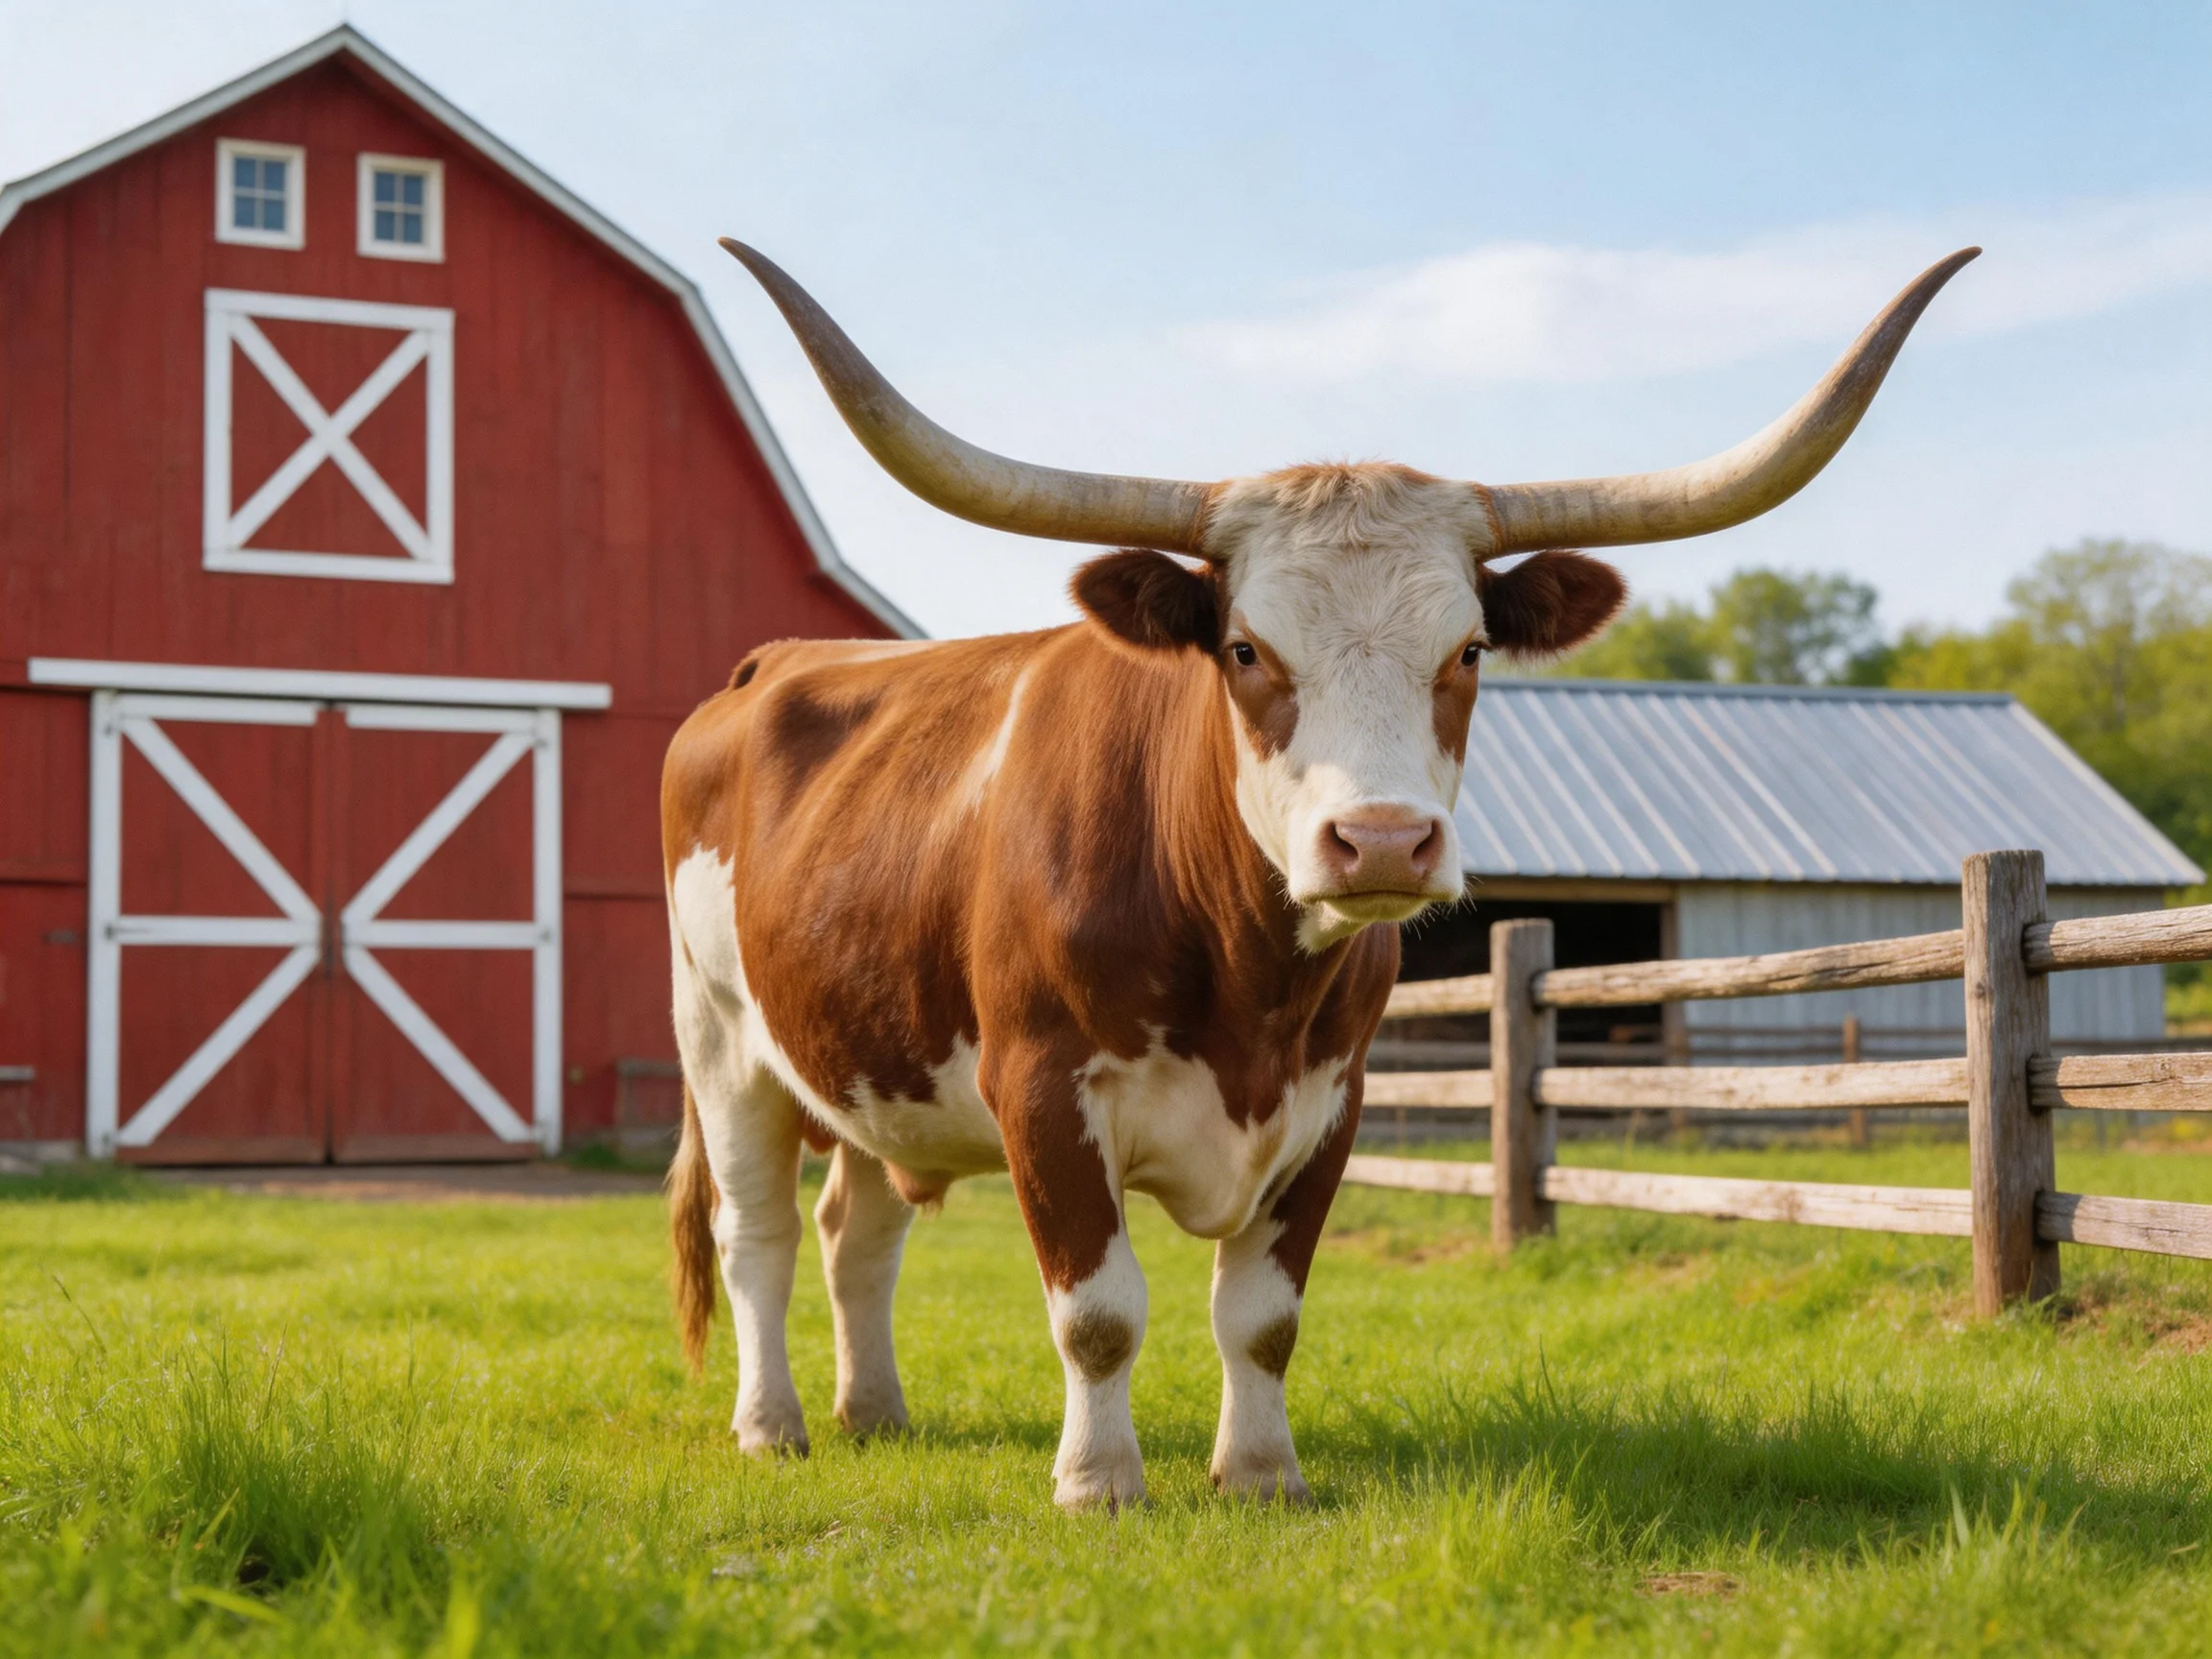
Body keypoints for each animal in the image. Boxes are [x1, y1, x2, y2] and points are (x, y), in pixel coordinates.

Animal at [664, 241, 1975, 1509]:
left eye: (1469, 649)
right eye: (1247, 650)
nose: (1384, 840)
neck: (1245, 981)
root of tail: (764, 669)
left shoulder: (1329, 1102)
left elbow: (1262, 1317)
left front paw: (1260, 1474)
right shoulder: (1040, 1088)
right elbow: (1098, 1314)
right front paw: (1099, 1483)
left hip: (873, 1063)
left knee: (856, 1230)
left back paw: (874, 1411)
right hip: (723, 1042)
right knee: (757, 1234)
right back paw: (770, 1426)